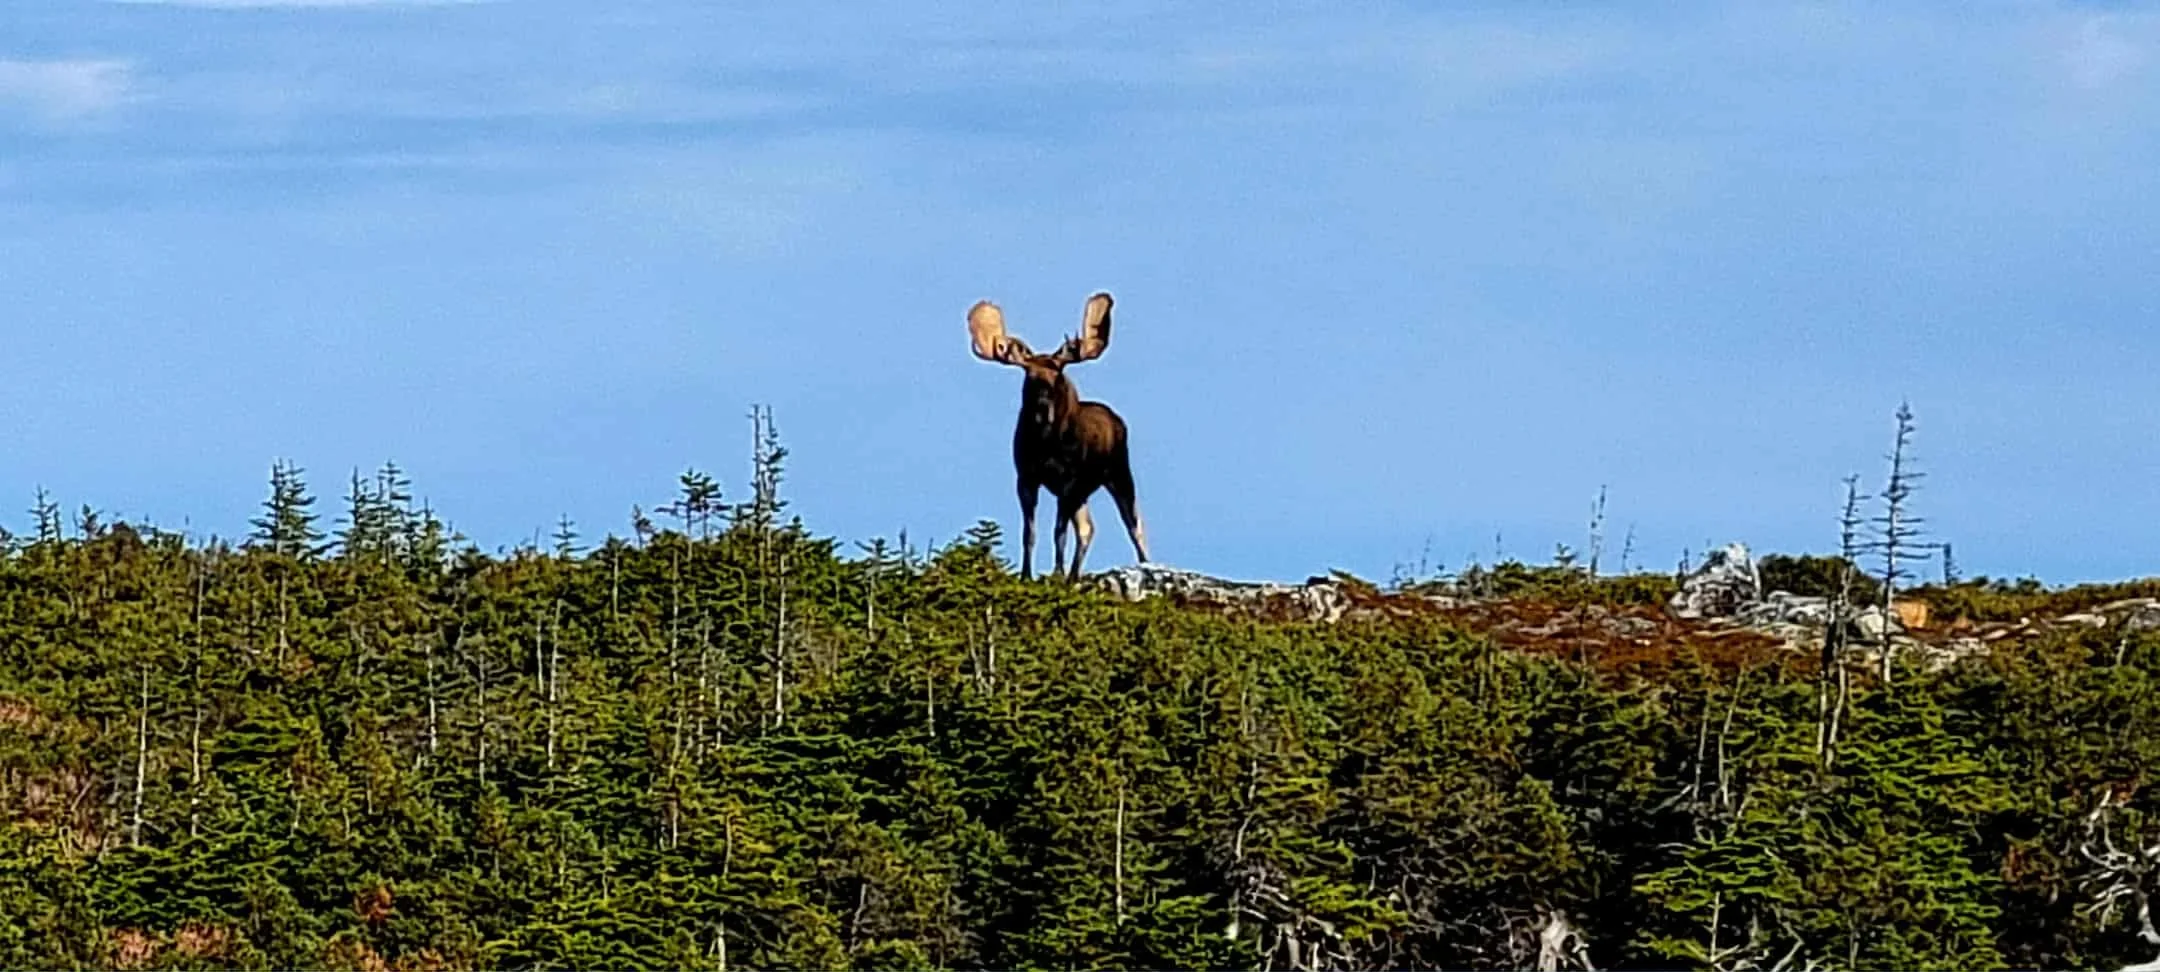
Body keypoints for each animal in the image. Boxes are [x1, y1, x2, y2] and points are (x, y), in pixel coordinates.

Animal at [968, 291, 1151, 582]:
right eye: (1029, 377)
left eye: (1058, 377)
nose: (1043, 410)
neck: (1046, 445)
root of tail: (1116, 418)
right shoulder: (1026, 478)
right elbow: (1029, 533)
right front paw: (1028, 575)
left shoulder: (1068, 481)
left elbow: (1059, 532)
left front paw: (1056, 572)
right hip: (1083, 491)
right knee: (1088, 528)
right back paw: (1074, 576)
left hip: (1118, 472)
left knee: (1134, 523)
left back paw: (1145, 565)